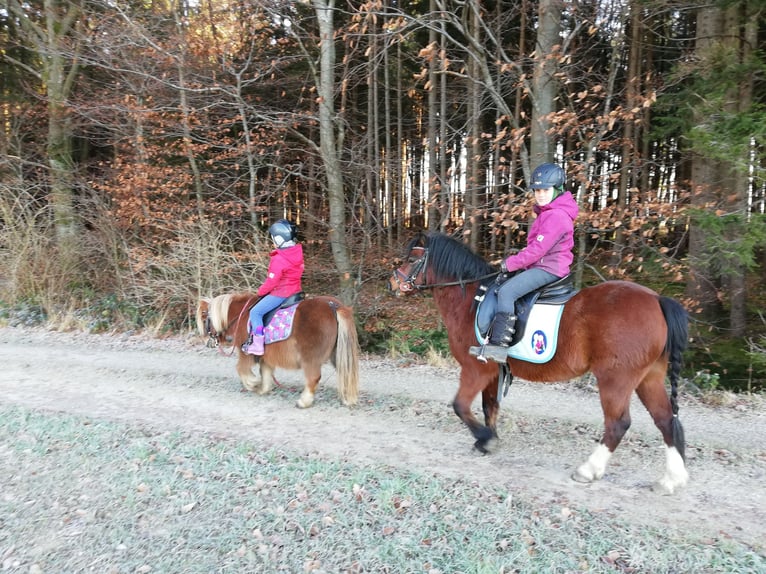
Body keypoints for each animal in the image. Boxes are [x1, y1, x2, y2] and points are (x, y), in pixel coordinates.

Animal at [196, 293, 359, 408]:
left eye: (204, 318)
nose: (206, 342)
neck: (240, 316)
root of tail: (333, 306)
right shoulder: (266, 356)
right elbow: (265, 371)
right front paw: (263, 389)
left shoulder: (245, 353)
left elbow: (241, 369)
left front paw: (253, 383)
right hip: (337, 354)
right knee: (346, 373)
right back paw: (347, 399)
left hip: (310, 358)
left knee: (313, 378)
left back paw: (304, 402)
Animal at [390, 232, 689, 494]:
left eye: (412, 258)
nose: (393, 283)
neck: (473, 300)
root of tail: (656, 299)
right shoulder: (494, 371)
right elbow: (490, 407)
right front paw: (487, 440)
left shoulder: (476, 369)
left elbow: (460, 406)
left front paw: (485, 439)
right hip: (649, 377)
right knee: (666, 419)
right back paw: (671, 479)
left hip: (615, 379)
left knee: (618, 423)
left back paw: (589, 470)